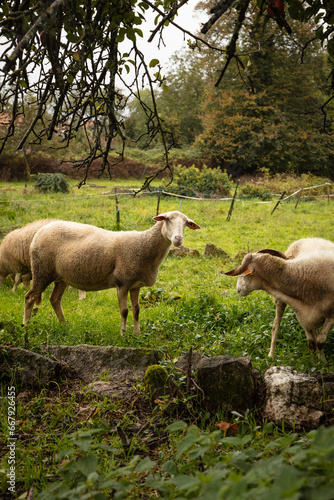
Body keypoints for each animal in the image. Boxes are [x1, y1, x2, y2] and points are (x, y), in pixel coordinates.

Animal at [24, 210, 201, 332]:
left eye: (186, 223)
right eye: (168, 219)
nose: (178, 240)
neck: (143, 246)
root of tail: (41, 230)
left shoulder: (136, 285)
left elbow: (136, 310)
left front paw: (137, 334)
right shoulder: (122, 283)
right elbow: (124, 311)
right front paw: (123, 334)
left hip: (61, 277)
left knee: (54, 299)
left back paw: (64, 325)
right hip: (41, 270)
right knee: (29, 297)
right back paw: (26, 326)